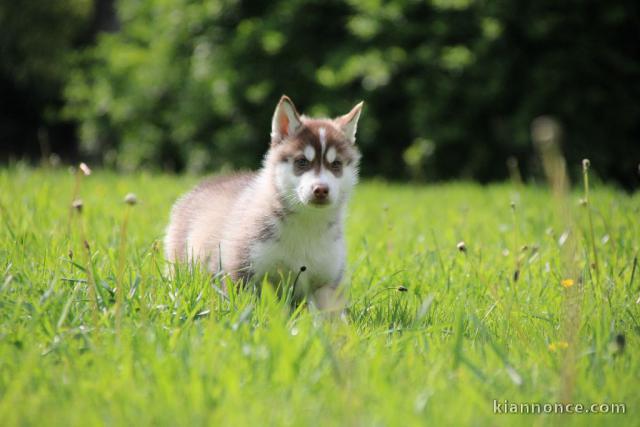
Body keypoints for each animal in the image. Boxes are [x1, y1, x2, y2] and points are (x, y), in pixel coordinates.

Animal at [165, 95, 362, 310]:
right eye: (302, 162)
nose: (321, 189)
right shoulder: (242, 270)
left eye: (336, 164)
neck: (307, 222)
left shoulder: (328, 282)